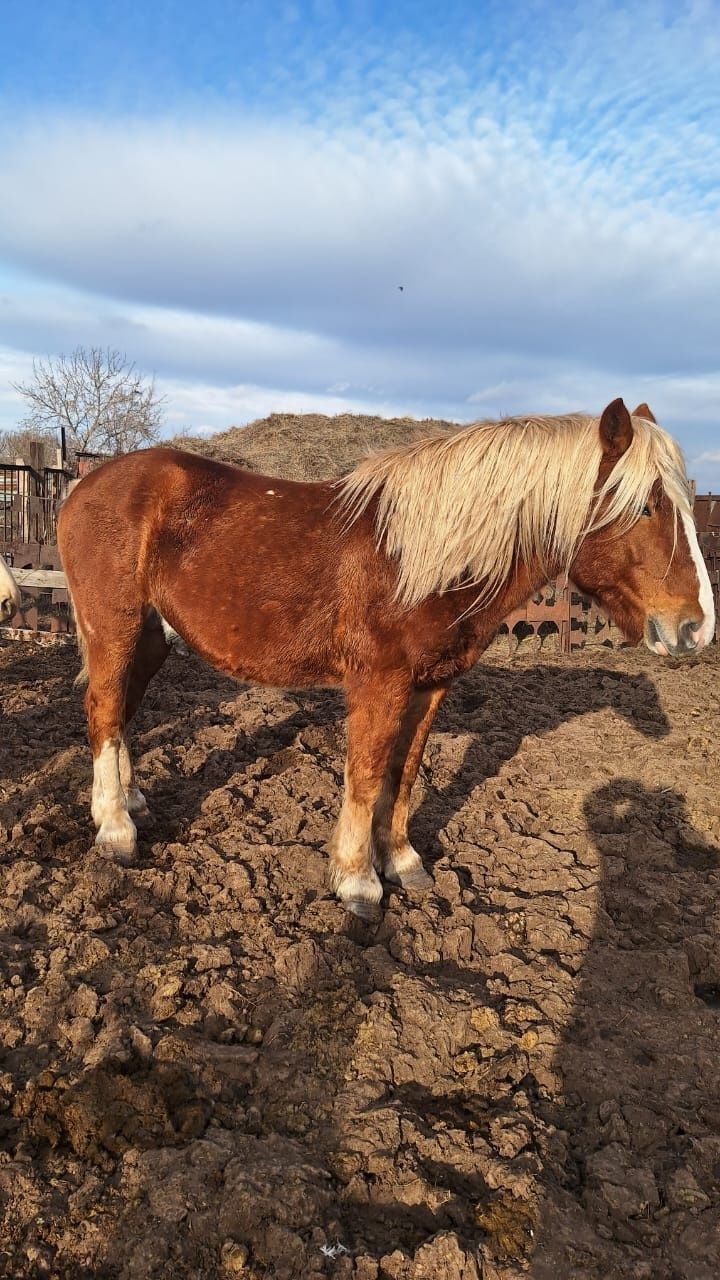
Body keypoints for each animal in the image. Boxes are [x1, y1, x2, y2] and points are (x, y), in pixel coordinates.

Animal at [57, 394, 712, 916]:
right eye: (646, 505)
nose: (696, 627)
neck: (426, 560)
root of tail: (83, 484)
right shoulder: (379, 683)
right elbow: (367, 775)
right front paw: (357, 882)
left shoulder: (430, 686)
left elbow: (404, 772)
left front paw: (400, 861)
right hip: (114, 628)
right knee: (104, 711)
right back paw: (115, 830)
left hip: (149, 638)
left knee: (119, 712)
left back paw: (130, 802)